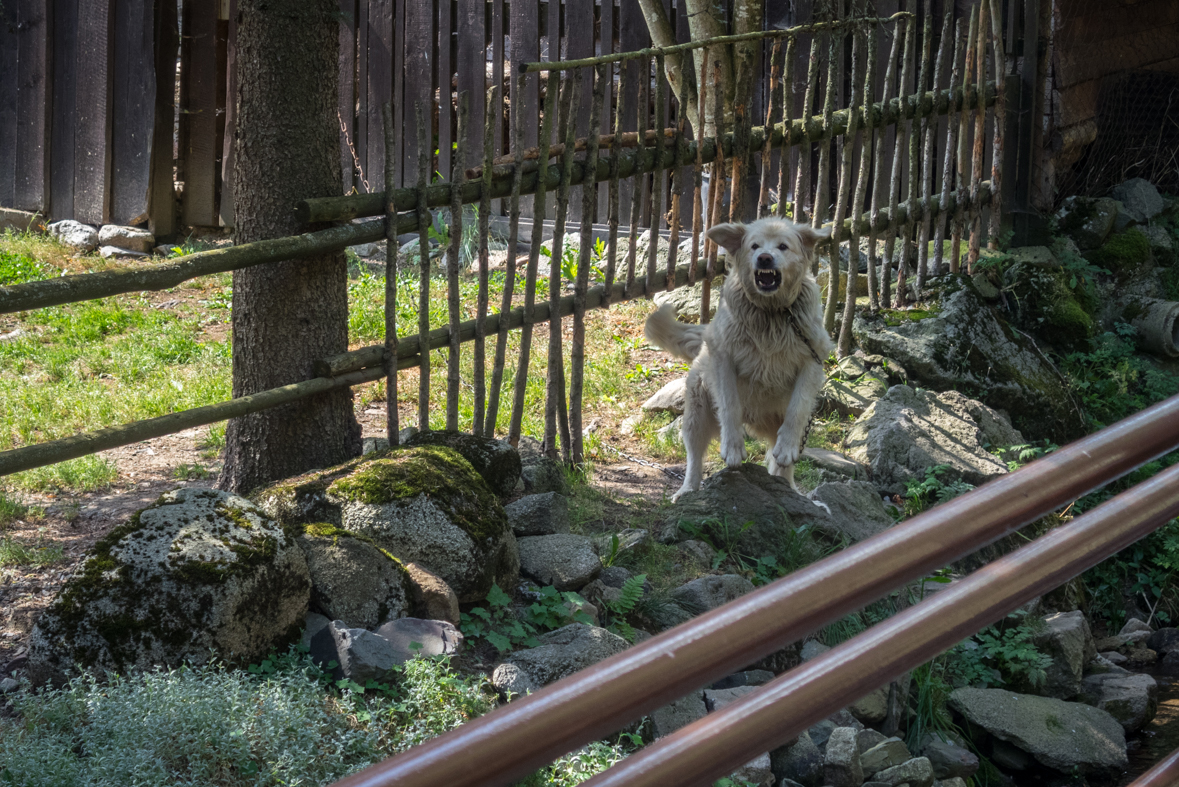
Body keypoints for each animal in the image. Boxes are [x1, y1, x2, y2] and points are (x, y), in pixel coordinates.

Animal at [646, 216, 830, 497]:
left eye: (783, 246)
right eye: (754, 246)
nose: (764, 258)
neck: (772, 313)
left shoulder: (813, 358)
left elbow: (797, 409)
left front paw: (787, 447)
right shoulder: (724, 358)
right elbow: (729, 404)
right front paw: (732, 448)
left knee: (780, 459)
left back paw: (788, 487)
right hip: (697, 410)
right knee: (694, 454)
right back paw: (687, 491)